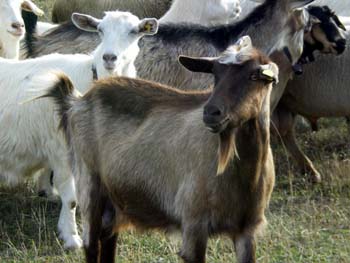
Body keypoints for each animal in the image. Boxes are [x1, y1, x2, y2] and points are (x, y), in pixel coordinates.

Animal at [0, 9, 157, 250]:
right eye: (100, 30)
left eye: (134, 31)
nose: (109, 58)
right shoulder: (63, 151)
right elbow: (72, 199)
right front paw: (71, 238)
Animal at [44, 36, 278, 263]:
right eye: (215, 74)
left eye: (254, 76)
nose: (211, 113)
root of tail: (77, 101)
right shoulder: (194, 225)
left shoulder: (246, 230)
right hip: (89, 183)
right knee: (91, 245)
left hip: (114, 198)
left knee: (108, 239)